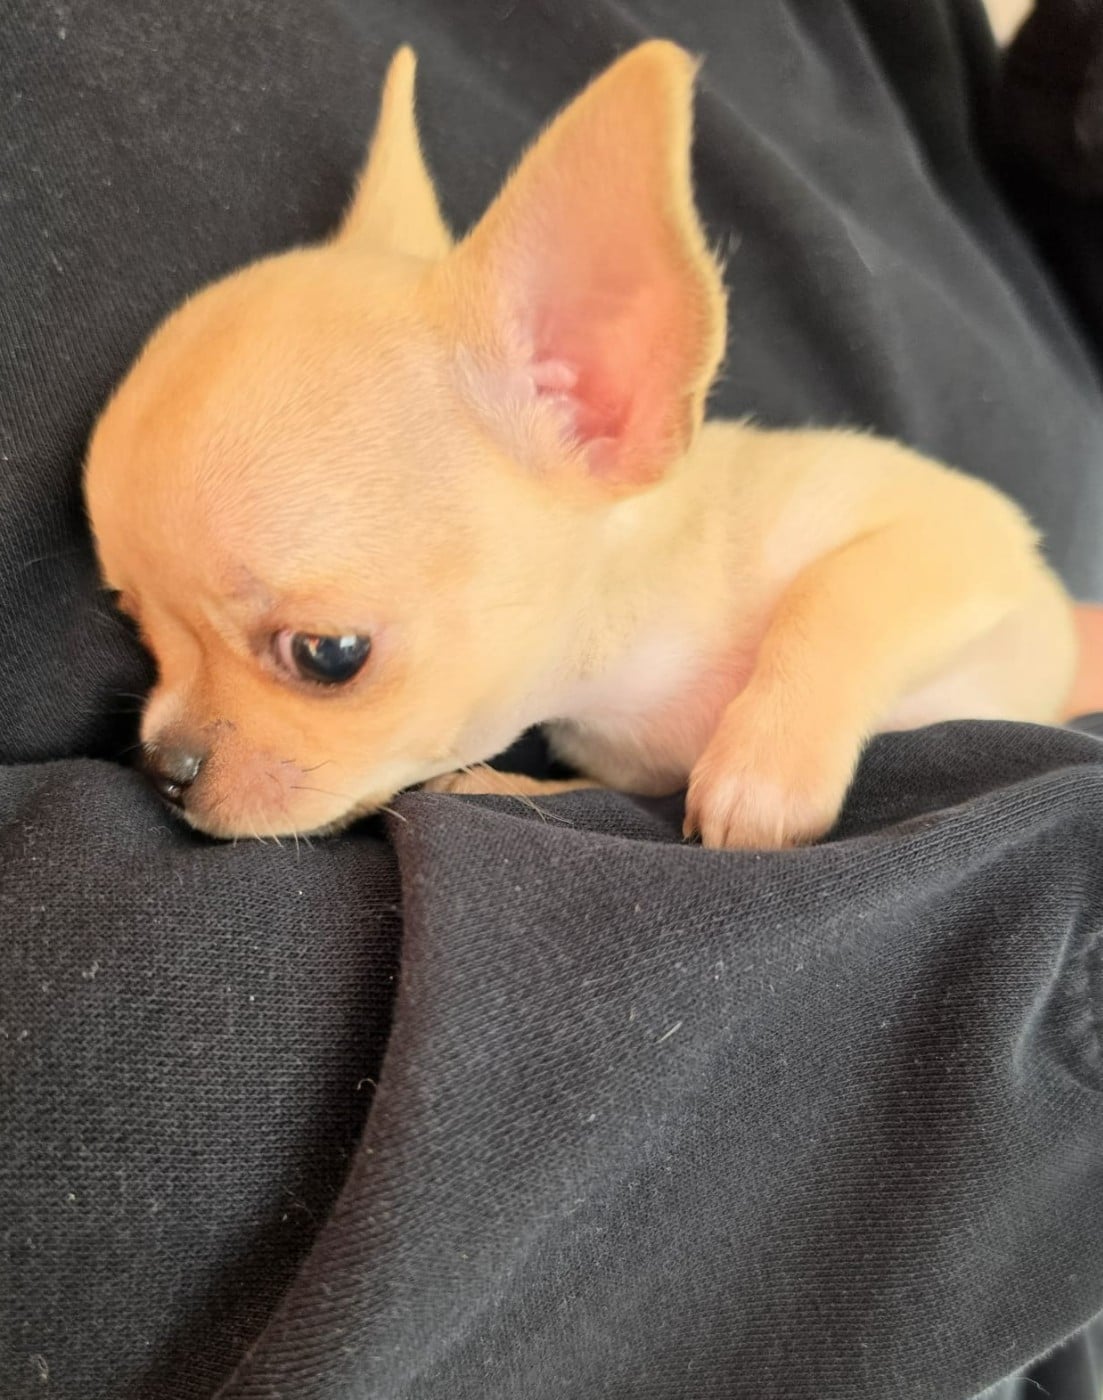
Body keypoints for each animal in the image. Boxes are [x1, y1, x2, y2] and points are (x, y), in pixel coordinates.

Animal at [85, 42, 1087, 849]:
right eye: (134, 625)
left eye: (328, 656)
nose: (161, 765)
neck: (641, 654)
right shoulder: (632, 763)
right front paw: (498, 783)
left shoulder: (969, 542)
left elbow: (839, 593)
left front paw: (765, 768)